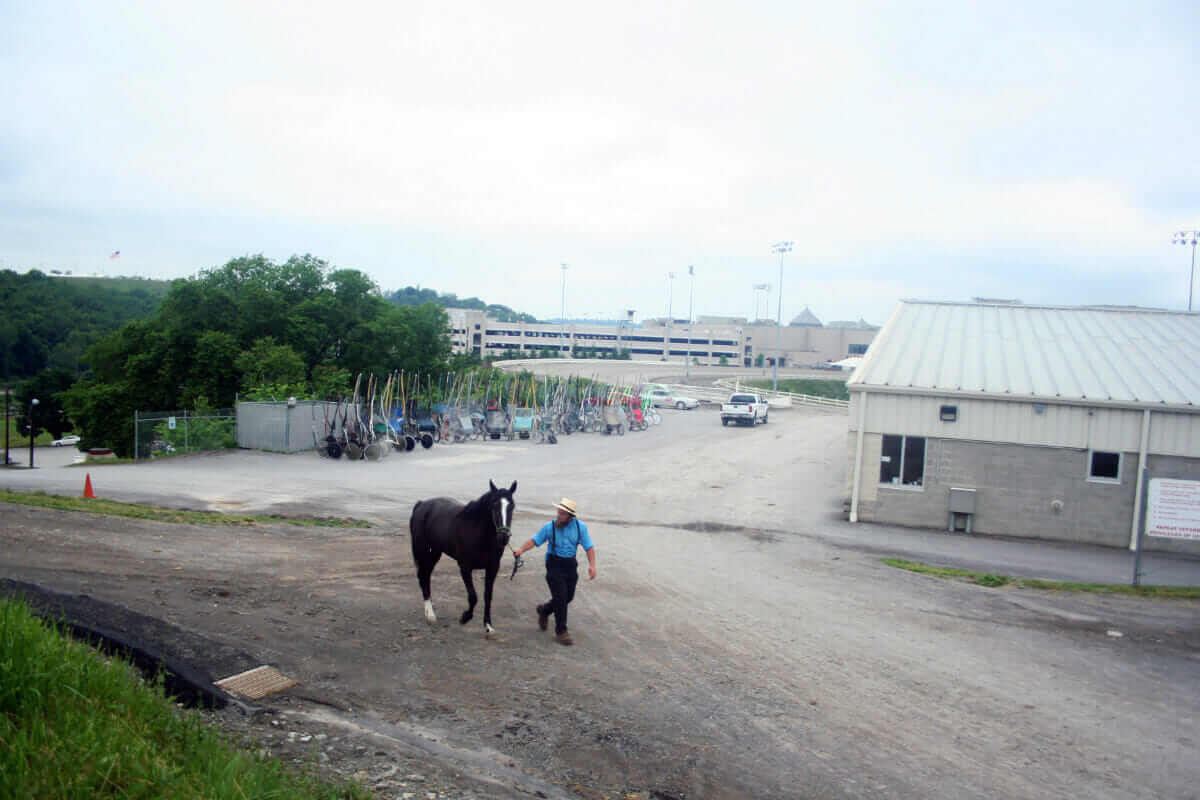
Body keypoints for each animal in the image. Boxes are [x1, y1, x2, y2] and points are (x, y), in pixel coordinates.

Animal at [410, 482, 513, 638]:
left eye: (512, 506)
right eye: (494, 506)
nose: (503, 538)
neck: (477, 532)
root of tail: (421, 504)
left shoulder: (492, 568)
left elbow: (488, 596)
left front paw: (488, 626)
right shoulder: (465, 567)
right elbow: (473, 597)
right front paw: (465, 617)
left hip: (435, 552)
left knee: (425, 576)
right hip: (423, 551)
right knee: (423, 577)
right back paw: (430, 615)